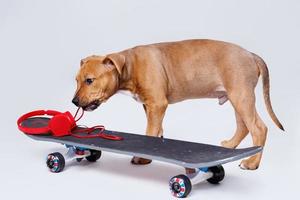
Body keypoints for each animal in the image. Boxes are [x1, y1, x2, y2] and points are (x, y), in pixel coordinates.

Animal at [72, 39, 284, 170]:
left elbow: (149, 133)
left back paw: (252, 163)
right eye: (76, 80)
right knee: (243, 126)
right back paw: (230, 147)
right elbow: (155, 131)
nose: (73, 101)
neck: (130, 66)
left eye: (89, 80)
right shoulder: (149, 106)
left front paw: (143, 158)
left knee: (258, 128)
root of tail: (251, 54)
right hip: (236, 97)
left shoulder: (157, 104)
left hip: (241, 95)